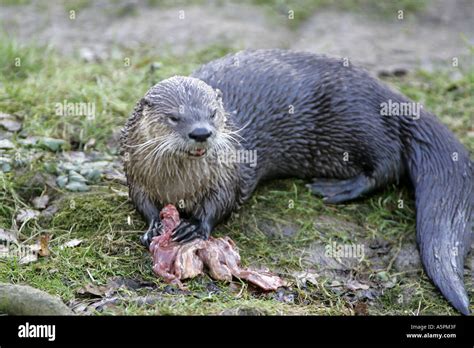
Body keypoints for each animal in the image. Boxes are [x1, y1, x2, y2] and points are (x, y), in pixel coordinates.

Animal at [120, 49, 472, 316]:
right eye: (175, 117)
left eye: (213, 113)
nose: (201, 132)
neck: (179, 184)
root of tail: (388, 95)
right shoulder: (135, 173)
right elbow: (141, 201)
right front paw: (154, 225)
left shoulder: (230, 172)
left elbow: (221, 202)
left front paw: (194, 226)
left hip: (359, 121)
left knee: (388, 162)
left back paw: (337, 189)